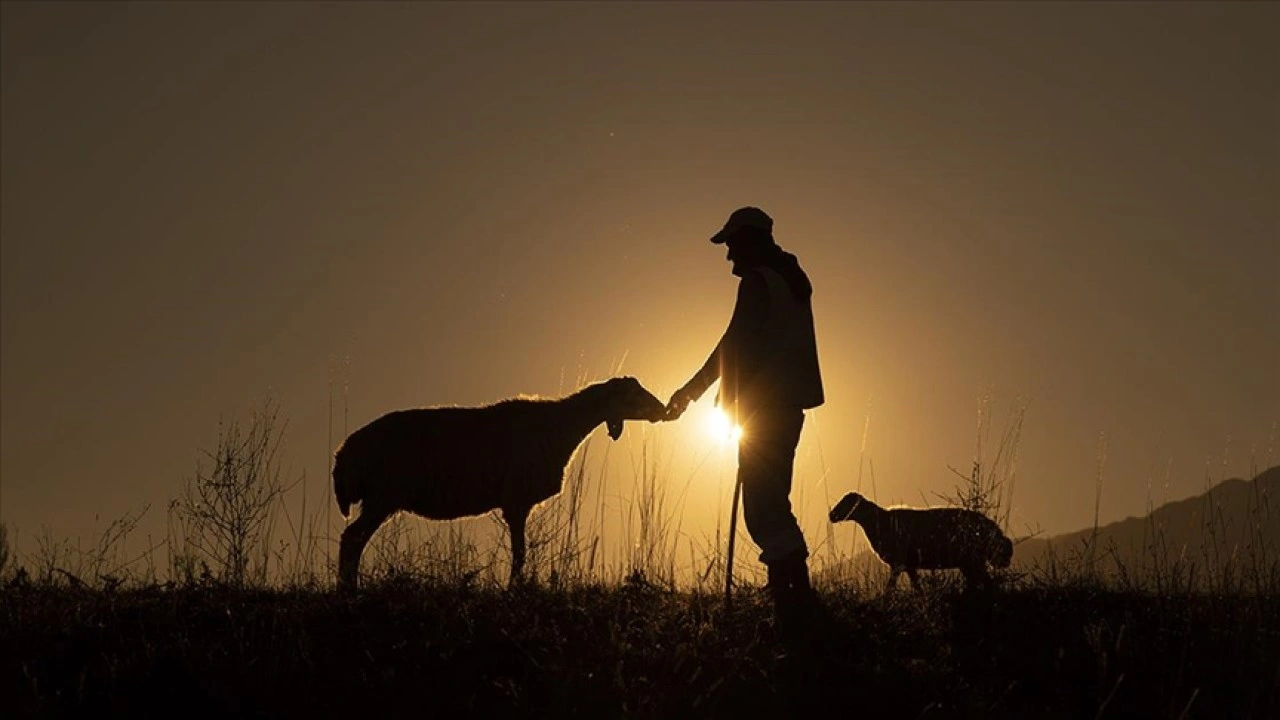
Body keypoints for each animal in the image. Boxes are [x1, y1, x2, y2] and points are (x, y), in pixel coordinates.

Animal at [335, 371, 665, 586]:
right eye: (632, 395)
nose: (662, 410)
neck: (561, 426)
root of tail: (345, 453)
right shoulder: (516, 502)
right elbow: (520, 555)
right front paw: (513, 592)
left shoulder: (517, 504)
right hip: (382, 497)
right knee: (350, 539)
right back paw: (349, 592)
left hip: (379, 499)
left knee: (354, 541)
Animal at [829, 489, 1008, 591]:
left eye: (848, 503)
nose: (831, 515)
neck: (879, 522)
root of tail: (992, 528)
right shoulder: (909, 566)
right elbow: (917, 588)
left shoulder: (898, 563)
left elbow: (890, 589)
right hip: (968, 562)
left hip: (974, 559)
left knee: (989, 585)